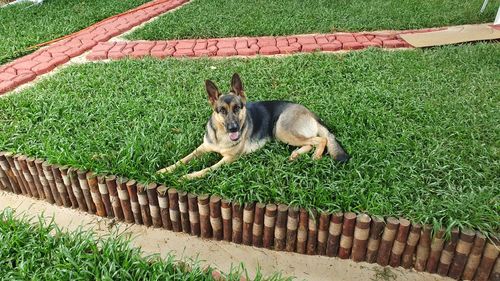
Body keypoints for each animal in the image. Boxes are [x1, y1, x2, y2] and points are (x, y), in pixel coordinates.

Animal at [158, 71, 350, 177]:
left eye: (237, 108)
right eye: (222, 110)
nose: (233, 128)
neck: (221, 136)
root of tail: (310, 113)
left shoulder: (229, 159)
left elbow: (208, 169)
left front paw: (189, 176)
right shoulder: (202, 148)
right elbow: (183, 160)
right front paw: (164, 171)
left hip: (280, 128)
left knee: (321, 140)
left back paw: (315, 158)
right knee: (311, 142)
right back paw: (296, 154)